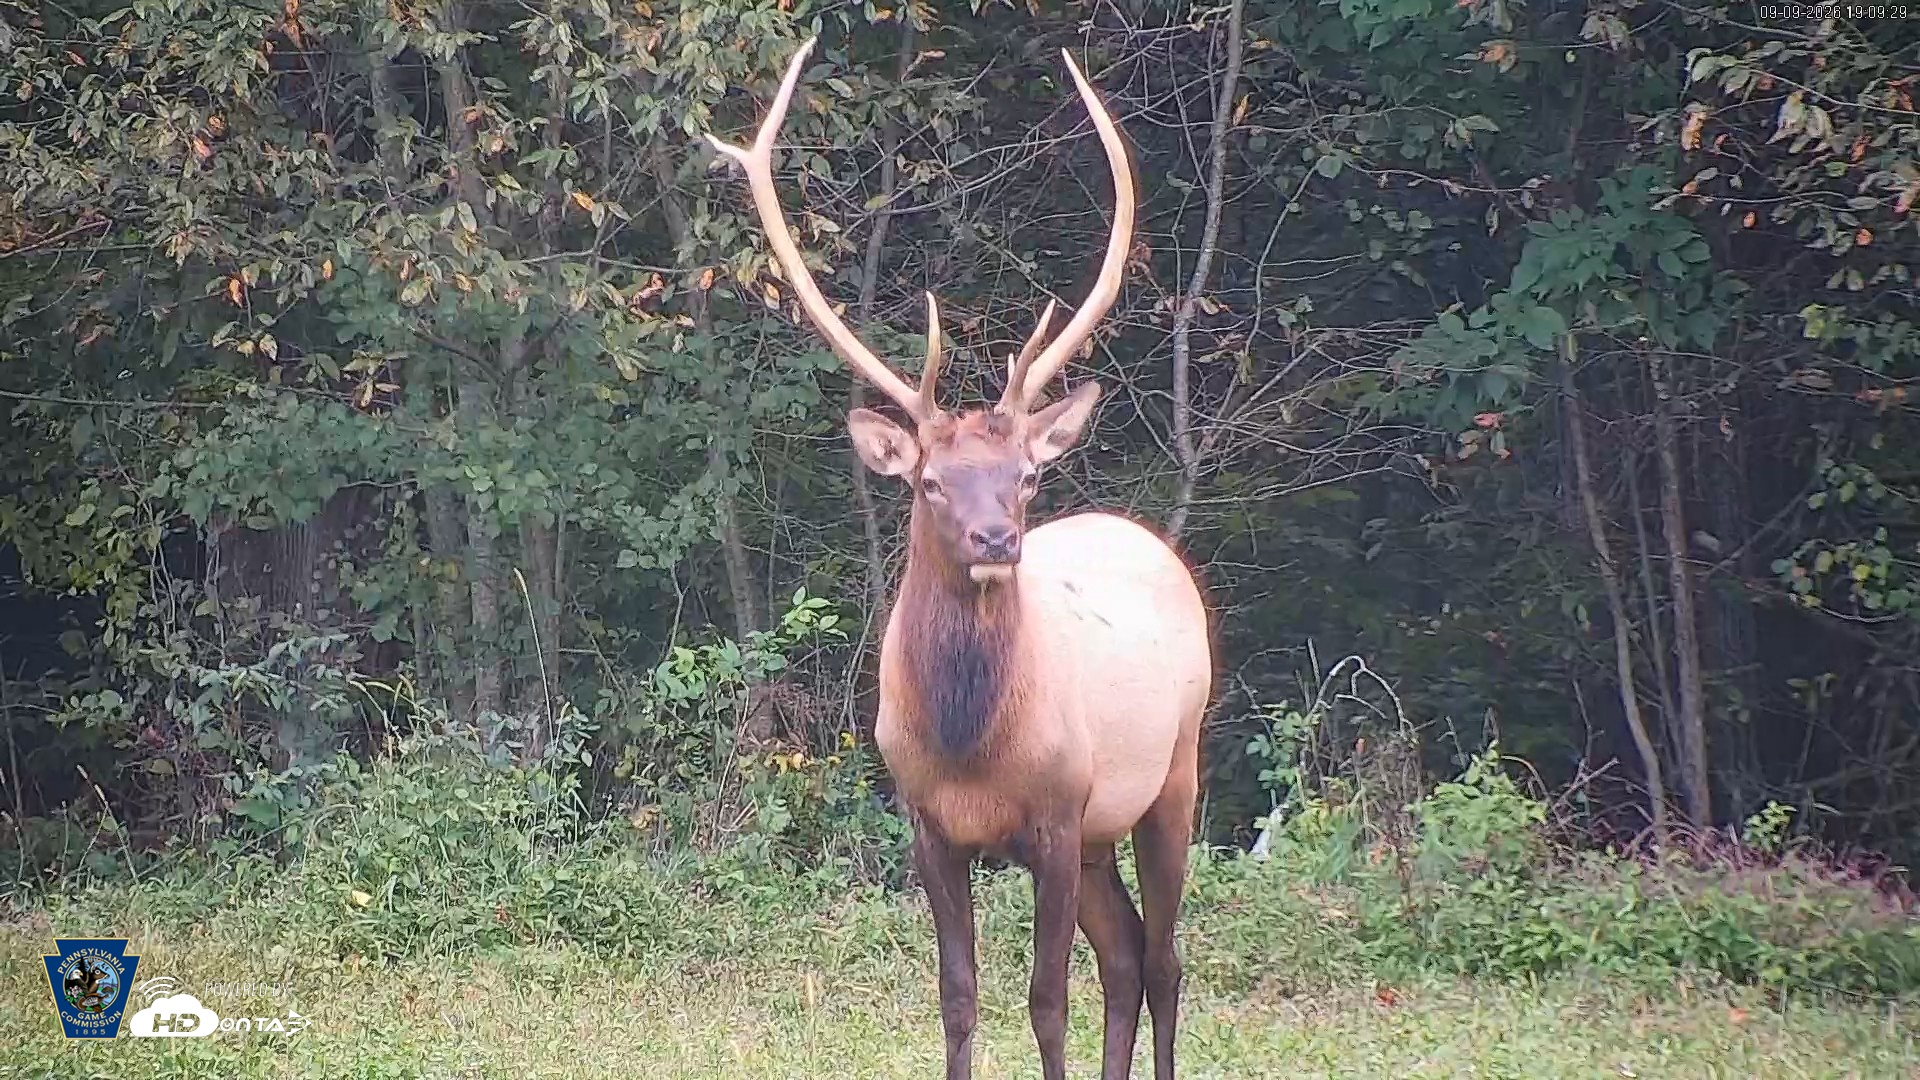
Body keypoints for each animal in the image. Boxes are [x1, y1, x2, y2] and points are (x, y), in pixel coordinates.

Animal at [707, 38, 1213, 1080]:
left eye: (1025, 474)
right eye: (931, 481)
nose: (996, 540)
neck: (971, 745)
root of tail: (1149, 540)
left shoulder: (1059, 811)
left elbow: (1047, 1000)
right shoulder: (929, 825)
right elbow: (959, 996)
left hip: (1172, 769)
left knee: (1166, 958)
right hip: (1104, 832)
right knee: (1128, 953)